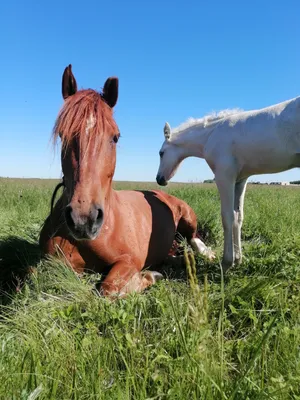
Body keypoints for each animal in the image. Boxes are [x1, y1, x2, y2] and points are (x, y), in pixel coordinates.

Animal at [39, 65, 214, 296]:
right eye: (62, 134)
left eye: (115, 137)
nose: (83, 219)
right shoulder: (49, 265)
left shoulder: (128, 261)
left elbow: (108, 289)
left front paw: (150, 276)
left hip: (188, 217)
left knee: (194, 240)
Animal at [156, 96, 300, 272]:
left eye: (161, 153)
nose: (159, 179)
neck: (211, 135)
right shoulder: (240, 180)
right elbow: (238, 216)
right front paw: (238, 260)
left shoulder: (224, 177)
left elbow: (227, 217)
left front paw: (226, 262)